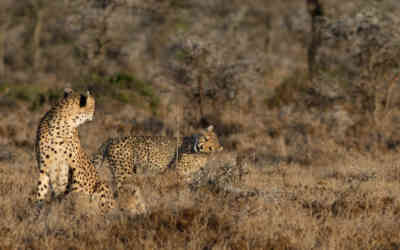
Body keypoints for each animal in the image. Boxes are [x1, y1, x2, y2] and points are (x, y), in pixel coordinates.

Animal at [93, 127, 223, 193]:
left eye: (210, 147)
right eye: (205, 138)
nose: (200, 146)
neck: (199, 155)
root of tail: (112, 139)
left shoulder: (189, 175)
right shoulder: (176, 171)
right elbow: (178, 186)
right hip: (123, 172)